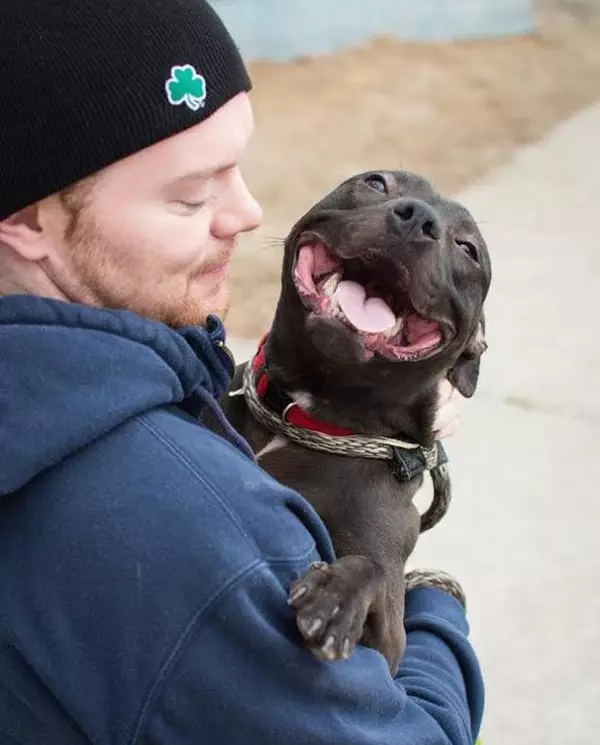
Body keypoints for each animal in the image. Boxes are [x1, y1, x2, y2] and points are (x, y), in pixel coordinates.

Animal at [218, 171, 490, 672]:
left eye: (468, 248)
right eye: (377, 183)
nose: (418, 218)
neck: (305, 416)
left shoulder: (391, 645)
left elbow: (373, 568)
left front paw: (335, 598)